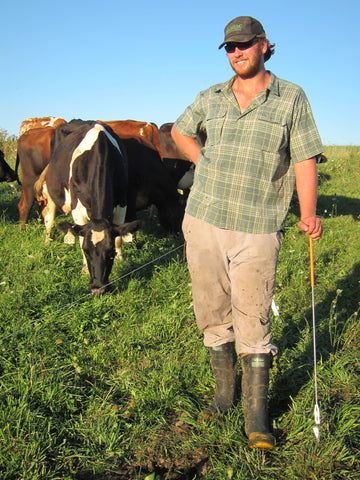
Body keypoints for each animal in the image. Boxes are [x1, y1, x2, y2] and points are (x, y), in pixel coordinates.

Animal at [34, 119, 141, 292]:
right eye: (86, 251)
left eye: (110, 253)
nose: (98, 288)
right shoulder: (76, 207)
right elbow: (79, 238)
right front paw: (84, 270)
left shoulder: (121, 203)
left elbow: (119, 239)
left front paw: (121, 261)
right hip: (51, 190)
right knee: (49, 218)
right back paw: (46, 242)